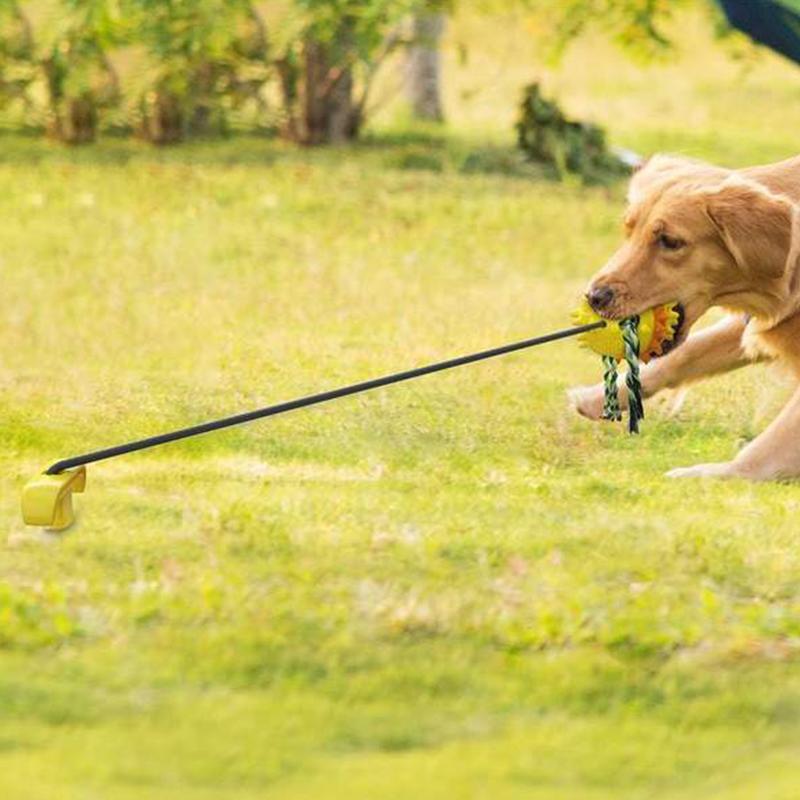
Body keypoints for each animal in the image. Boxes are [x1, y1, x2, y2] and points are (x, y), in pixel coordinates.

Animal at [568, 155, 800, 482]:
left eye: (670, 241)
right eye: (629, 231)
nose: (594, 297)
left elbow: (775, 443)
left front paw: (714, 473)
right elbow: (687, 354)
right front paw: (598, 397)